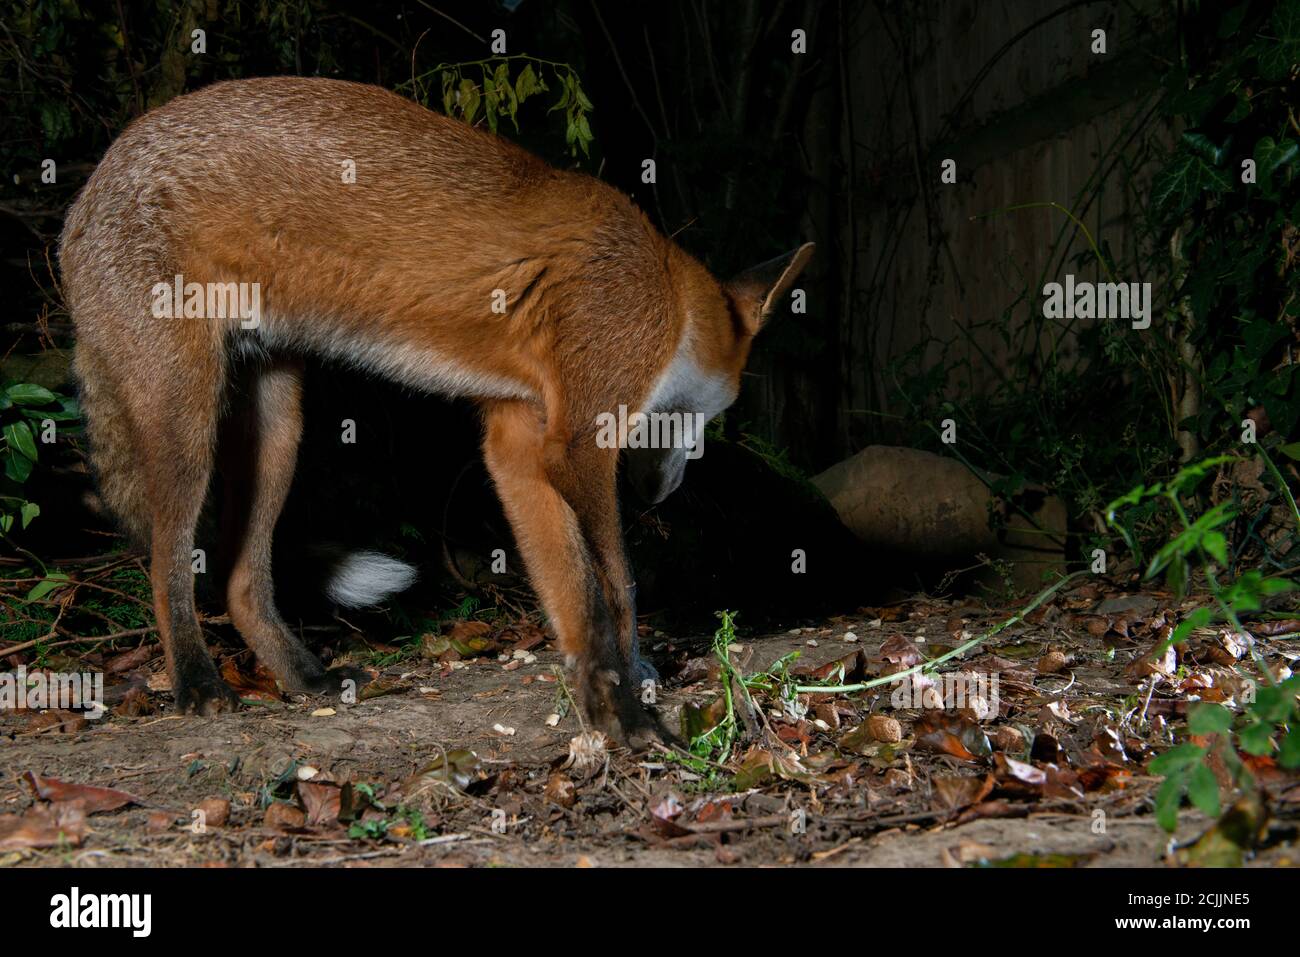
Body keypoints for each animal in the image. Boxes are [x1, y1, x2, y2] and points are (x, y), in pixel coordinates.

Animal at [63, 76, 811, 748]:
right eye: (705, 419)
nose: (663, 493)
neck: (665, 295)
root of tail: (87, 192)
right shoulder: (580, 439)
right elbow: (617, 586)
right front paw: (629, 705)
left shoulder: (517, 443)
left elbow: (573, 594)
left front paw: (602, 696)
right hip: (187, 423)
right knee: (167, 567)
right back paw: (196, 681)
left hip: (277, 424)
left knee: (238, 578)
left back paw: (305, 678)